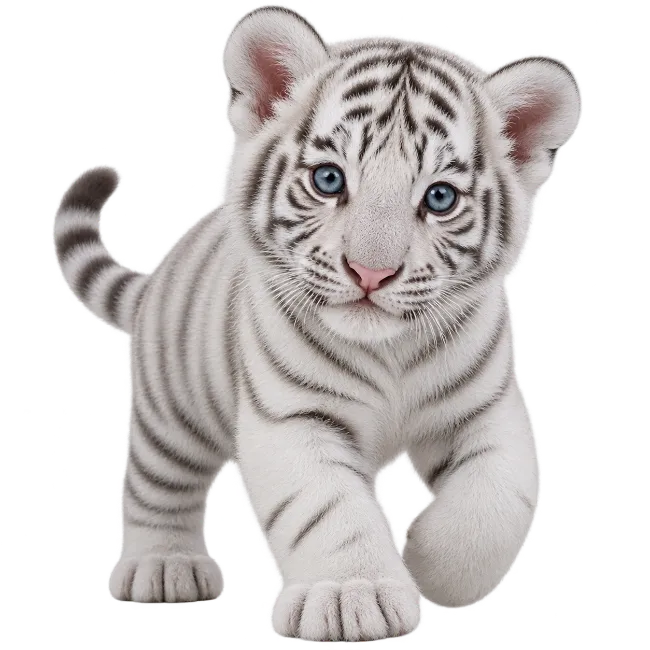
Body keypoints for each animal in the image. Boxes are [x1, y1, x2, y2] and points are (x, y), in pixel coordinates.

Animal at [53, 1, 582, 641]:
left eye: (440, 198)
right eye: (329, 180)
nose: (372, 272)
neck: (390, 351)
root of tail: (160, 274)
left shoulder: (488, 409)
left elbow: (495, 500)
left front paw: (427, 562)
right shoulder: (292, 414)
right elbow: (328, 507)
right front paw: (355, 595)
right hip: (172, 405)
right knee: (155, 482)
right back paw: (163, 566)